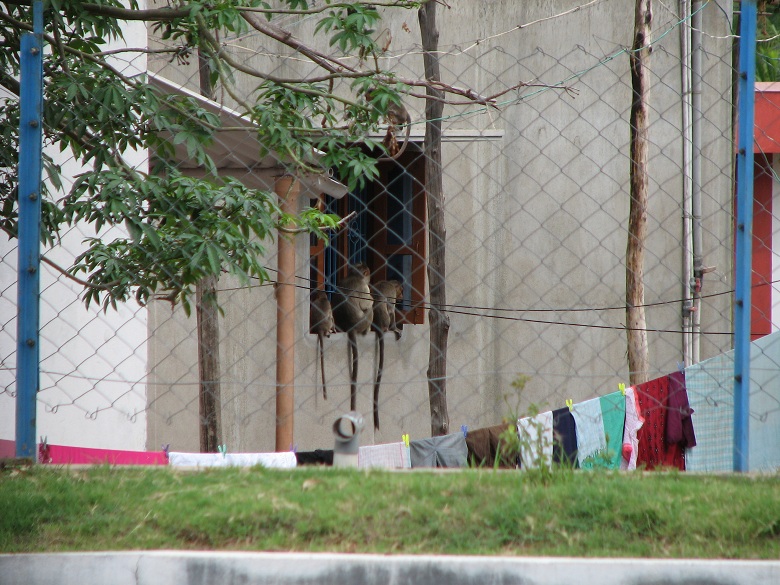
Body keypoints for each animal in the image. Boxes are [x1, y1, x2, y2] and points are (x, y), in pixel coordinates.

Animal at [330, 262, 374, 408]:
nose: (370, 278)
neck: (354, 275)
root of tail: (350, 327)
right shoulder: (364, 287)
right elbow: (367, 303)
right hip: (363, 321)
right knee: (369, 310)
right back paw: (367, 330)